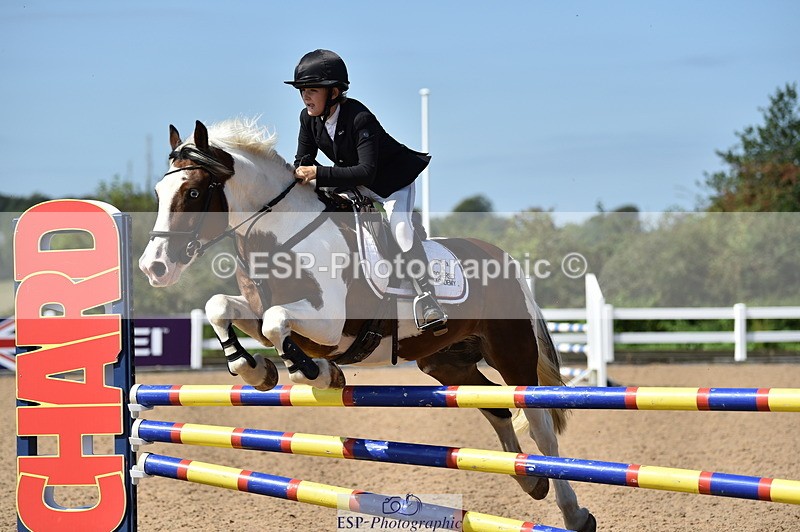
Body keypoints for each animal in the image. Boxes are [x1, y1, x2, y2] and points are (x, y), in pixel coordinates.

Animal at [138, 118, 596, 532]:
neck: (281, 236)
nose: (153, 267)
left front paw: (313, 373)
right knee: (496, 407)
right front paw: (257, 370)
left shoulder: (326, 323)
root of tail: (503, 259)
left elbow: (275, 323)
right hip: (446, 361)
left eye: (194, 192)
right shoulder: (263, 310)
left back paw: (572, 512)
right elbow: (221, 308)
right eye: (158, 193)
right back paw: (529, 480)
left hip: (510, 352)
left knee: (538, 423)